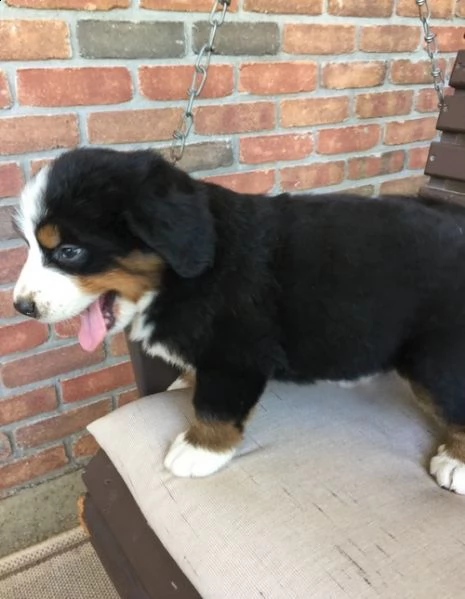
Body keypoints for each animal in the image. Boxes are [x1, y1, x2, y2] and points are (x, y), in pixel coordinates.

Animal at [11, 149, 465, 492]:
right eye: (31, 245)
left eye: (68, 252)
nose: (21, 306)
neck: (182, 279)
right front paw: (185, 382)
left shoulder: (234, 354)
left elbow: (214, 406)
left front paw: (198, 450)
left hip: (438, 357)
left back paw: (456, 462)